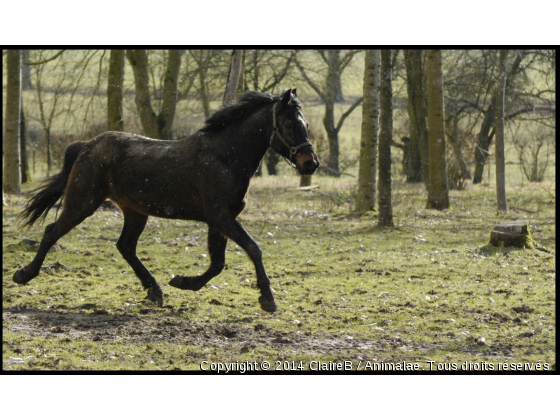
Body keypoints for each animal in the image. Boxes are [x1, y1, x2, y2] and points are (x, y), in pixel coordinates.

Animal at [14, 89, 320, 312]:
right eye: (289, 123)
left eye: (305, 123)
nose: (311, 163)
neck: (224, 156)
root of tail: (86, 145)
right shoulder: (221, 217)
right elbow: (253, 249)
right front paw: (268, 299)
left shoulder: (219, 221)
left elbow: (217, 263)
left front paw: (183, 282)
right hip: (83, 202)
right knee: (52, 232)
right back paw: (25, 274)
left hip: (135, 212)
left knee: (125, 246)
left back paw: (155, 291)